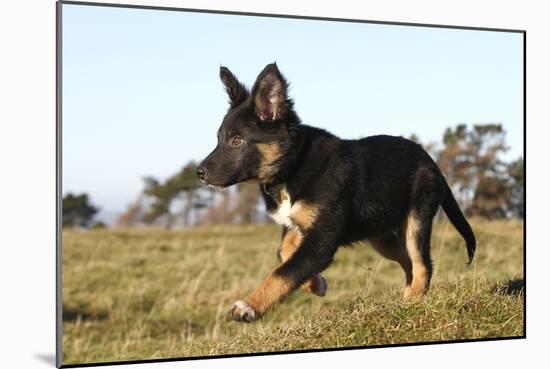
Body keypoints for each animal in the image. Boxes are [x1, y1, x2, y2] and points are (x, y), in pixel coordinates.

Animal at [197, 63, 474, 322]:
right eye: (219, 138)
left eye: (236, 140)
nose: (200, 173)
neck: (293, 165)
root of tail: (431, 161)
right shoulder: (299, 223)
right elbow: (285, 254)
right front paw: (316, 283)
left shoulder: (323, 237)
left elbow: (286, 270)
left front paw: (249, 306)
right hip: (381, 235)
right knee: (409, 262)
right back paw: (404, 300)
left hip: (417, 217)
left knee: (421, 263)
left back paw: (412, 301)